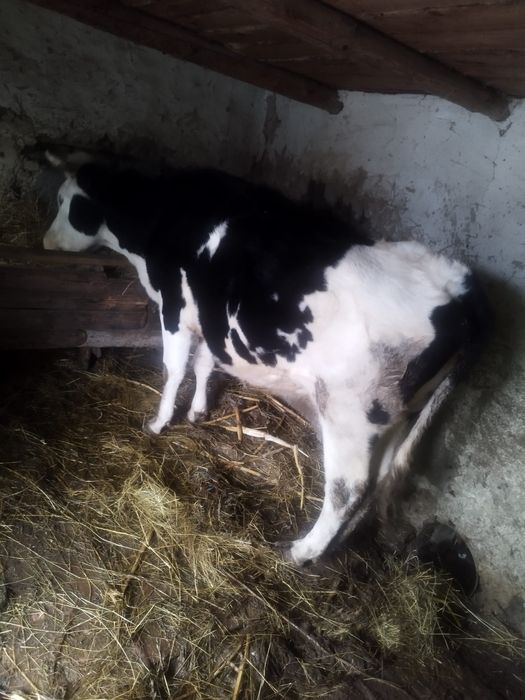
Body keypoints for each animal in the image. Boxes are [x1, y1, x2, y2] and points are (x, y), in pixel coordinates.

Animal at [43, 152, 491, 566]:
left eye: (68, 202)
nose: (46, 242)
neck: (163, 214)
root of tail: (456, 290)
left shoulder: (175, 308)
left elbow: (174, 369)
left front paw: (158, 422)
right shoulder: (209, 315)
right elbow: (204, 363)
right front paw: (198, 412)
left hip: (351, 413)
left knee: (348, 488)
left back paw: (303, 551)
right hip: (399, 416)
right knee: (379, 478)